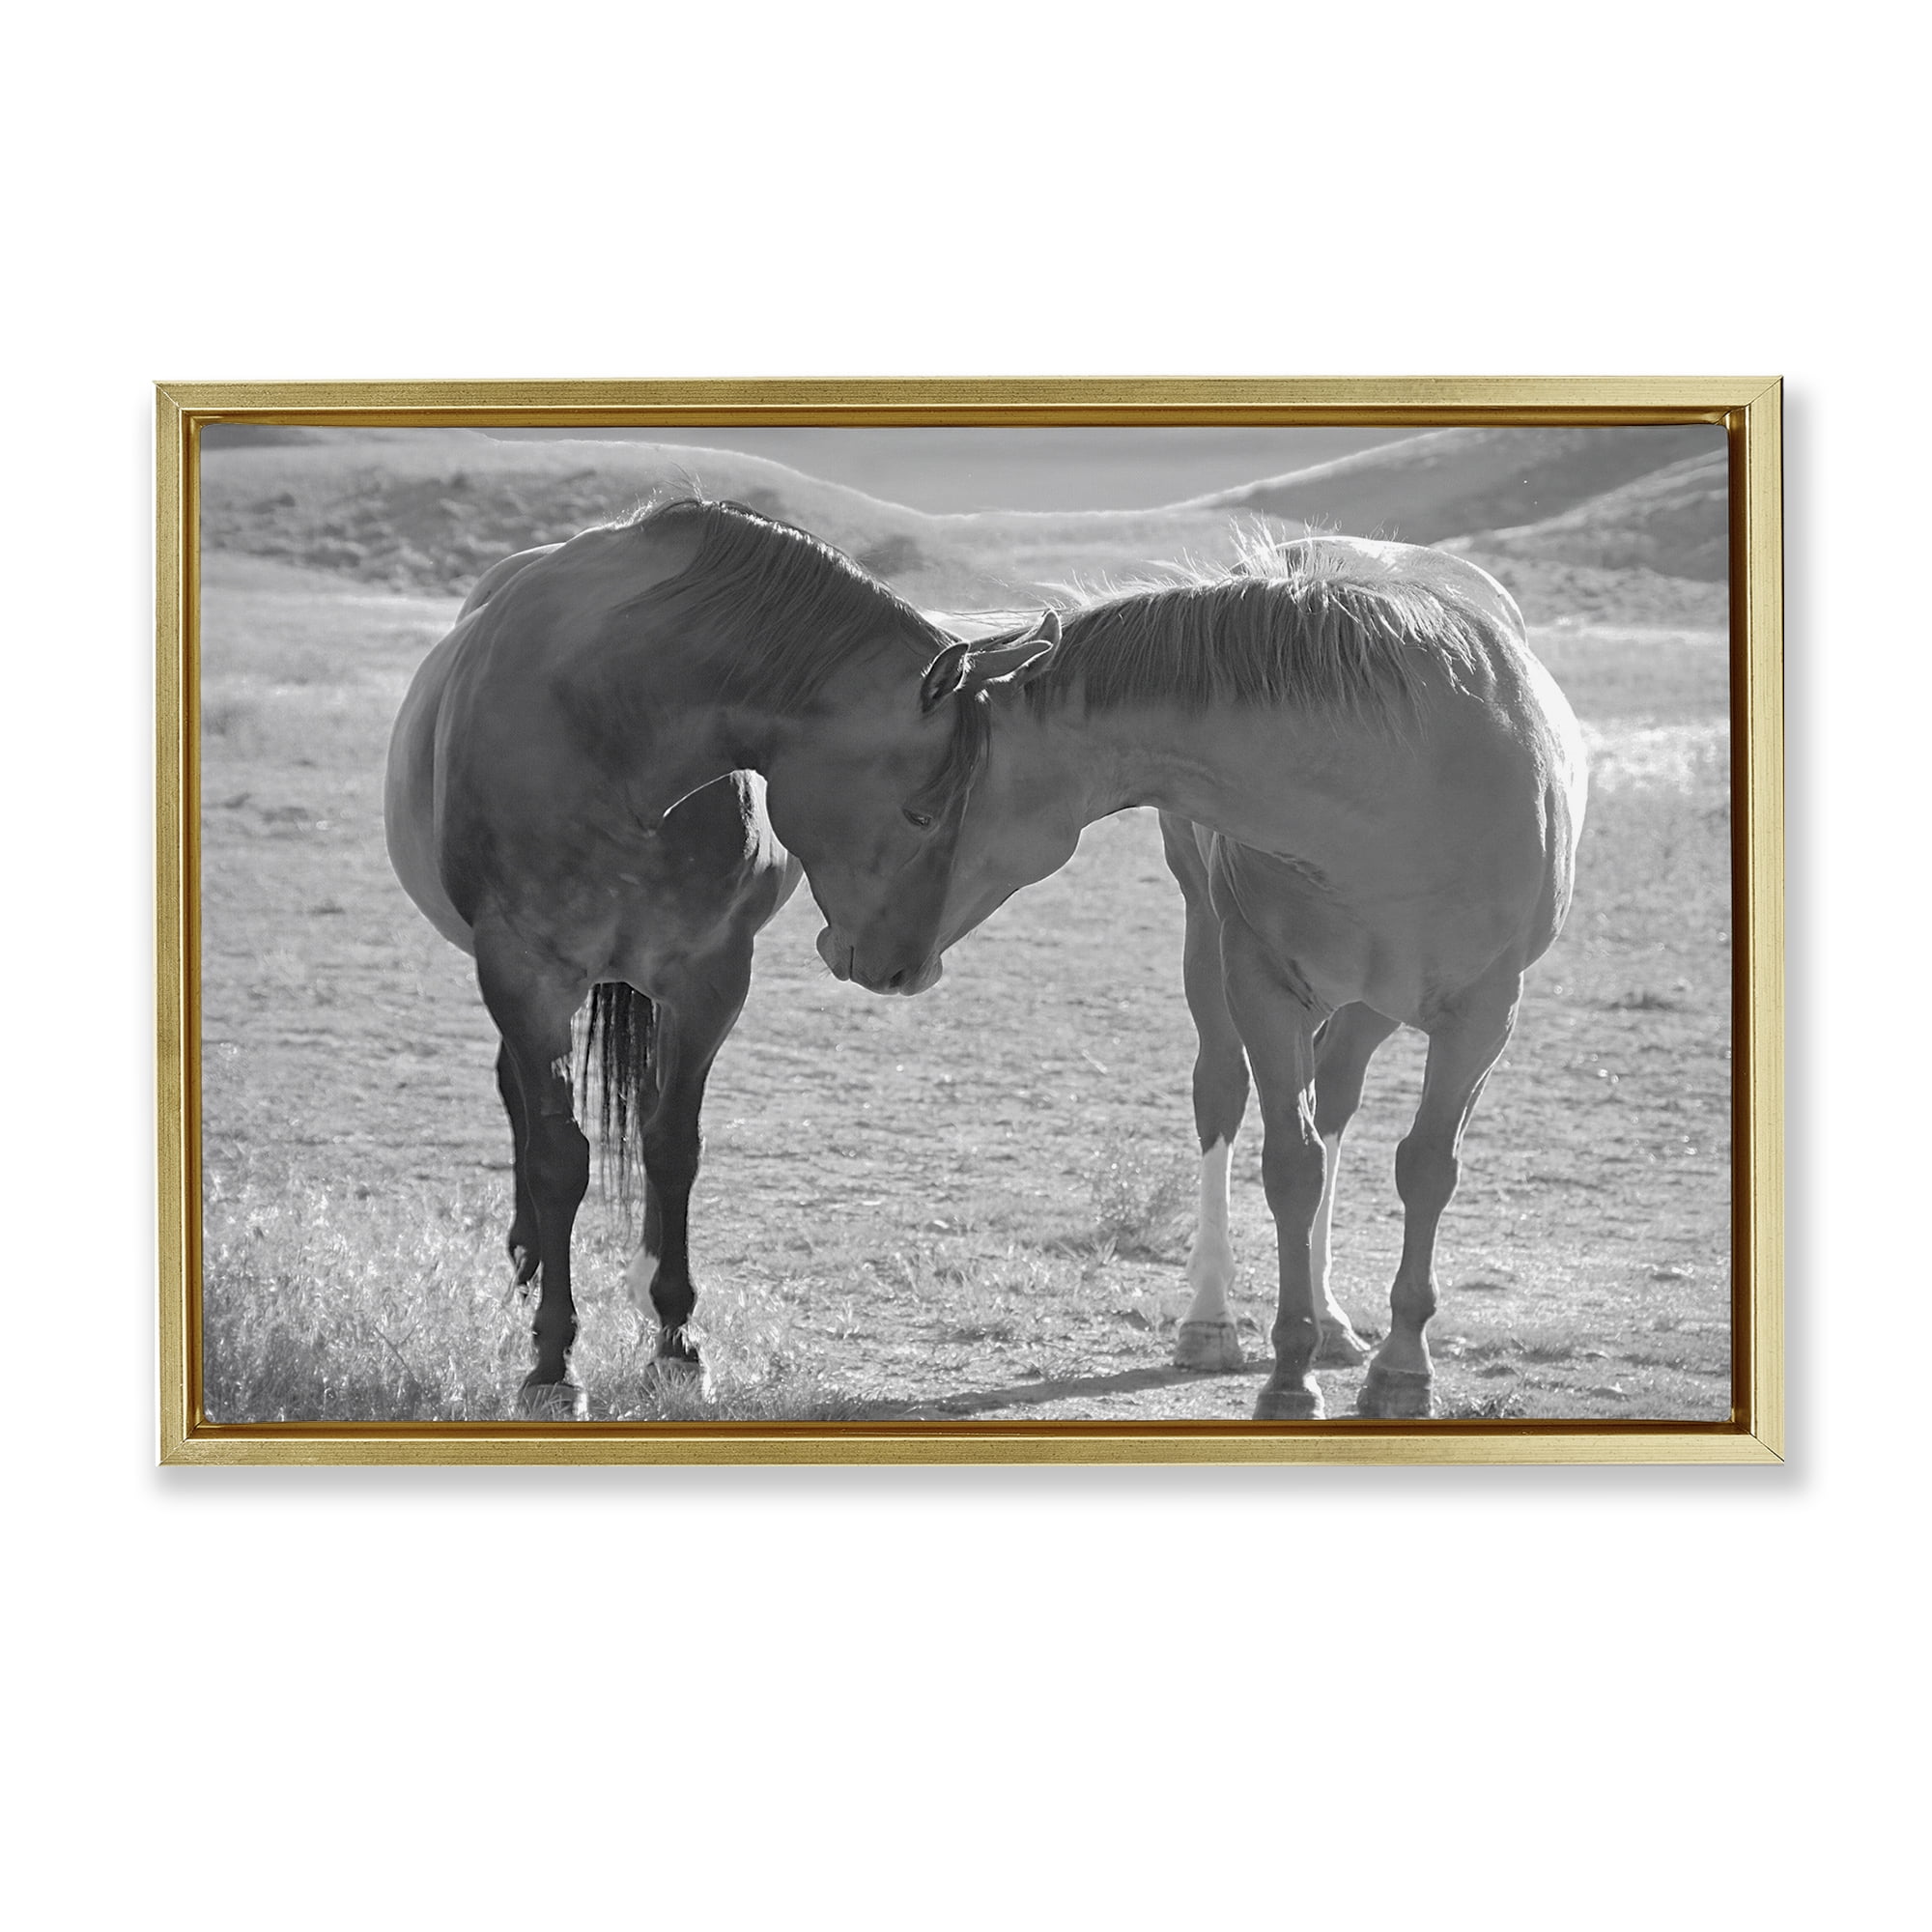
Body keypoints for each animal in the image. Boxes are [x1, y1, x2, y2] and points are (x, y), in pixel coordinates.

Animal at [384, 497, 1057, 1417]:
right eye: (922, 811)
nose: (907, 969)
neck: (611, 726)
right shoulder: (523, 974)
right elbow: (559, 1158)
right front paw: (553, 1363)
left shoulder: (708, 979)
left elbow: (673, 1146)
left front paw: (675, 1341)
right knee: (521, 1105)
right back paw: (527, 1259)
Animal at [823, 532, 1588, 1421]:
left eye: (918, 808)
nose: (851, 952)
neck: (1400, 780)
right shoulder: (1260, 984)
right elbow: (1290, 1167)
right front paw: (1289, 1375)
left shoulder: (1485, 1014)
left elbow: (1426, 1168)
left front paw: (1401, 1369)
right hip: (1211, 949)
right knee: (1223, 1095)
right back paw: (1212, 1320)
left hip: (1372, 1005)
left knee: (1337, 1100)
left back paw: (1334, 1319)